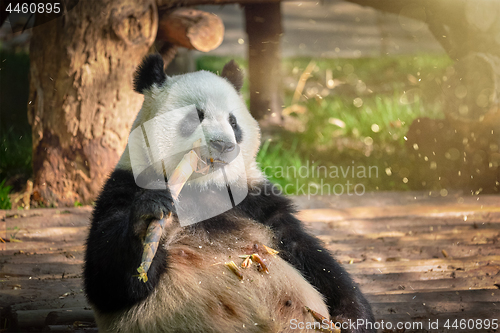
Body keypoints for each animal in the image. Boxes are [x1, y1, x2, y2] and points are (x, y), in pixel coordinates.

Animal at [84, 55, 376, 332]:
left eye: (233, 122)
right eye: (195, 117)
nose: (223, 145)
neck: (203, 187)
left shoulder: (255, 199)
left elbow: (306, 250)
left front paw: (353, 318)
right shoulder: (124, 185)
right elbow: (108, 283)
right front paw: (150, 216)